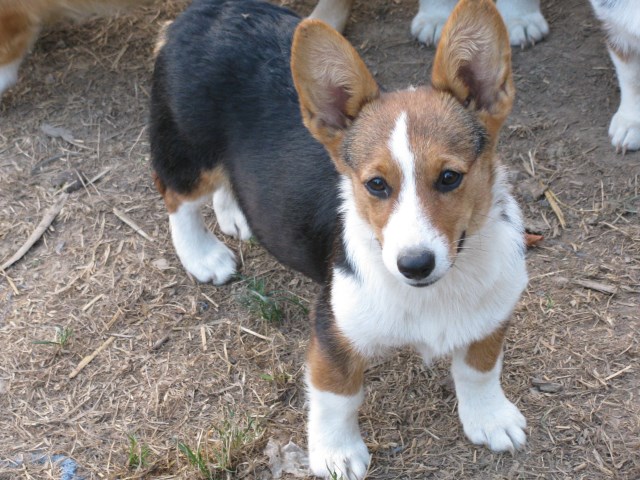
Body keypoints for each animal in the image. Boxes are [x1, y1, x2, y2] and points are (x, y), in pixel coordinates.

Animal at [151, 0, 528, 476]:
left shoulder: (492, 314)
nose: (415, 264)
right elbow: (338, 397)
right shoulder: (334, 333)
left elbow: (479, 369)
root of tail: (200, 12)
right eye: (376, 185)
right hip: (187, 150)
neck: (433, 292)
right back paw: (202, 255)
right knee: (176, 197)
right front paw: (337, 454)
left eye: (449, 178)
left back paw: (236, 214)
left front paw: (490, 418)